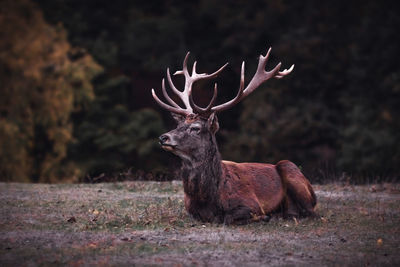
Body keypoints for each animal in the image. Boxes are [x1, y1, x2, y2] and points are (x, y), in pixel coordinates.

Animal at [152, 47, 318, 224]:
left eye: (195, 128)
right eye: (178, 125)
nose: (163, 137)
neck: (209, 198)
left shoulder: (251, 203)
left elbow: (229, 217)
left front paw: (265, 216)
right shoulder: (191, 211)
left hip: (289, 168)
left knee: (311, 212)